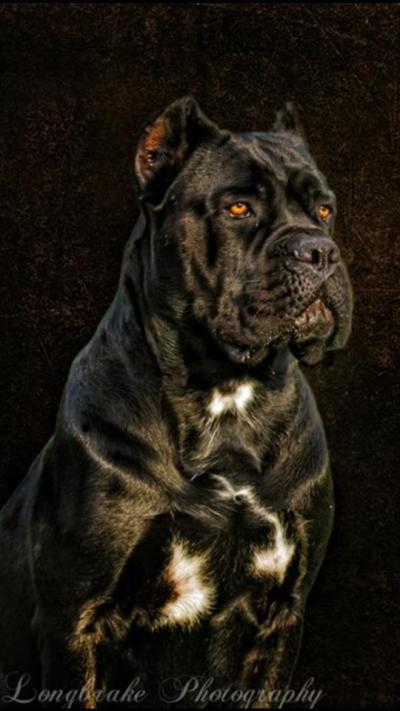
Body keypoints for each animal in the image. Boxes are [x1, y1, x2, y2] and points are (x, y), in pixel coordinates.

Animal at [0, 97, 352, 709]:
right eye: (238, 208)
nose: (319, 251)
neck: (224, 395)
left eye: (325, 210)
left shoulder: (281, 615)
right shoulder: (75, 619)